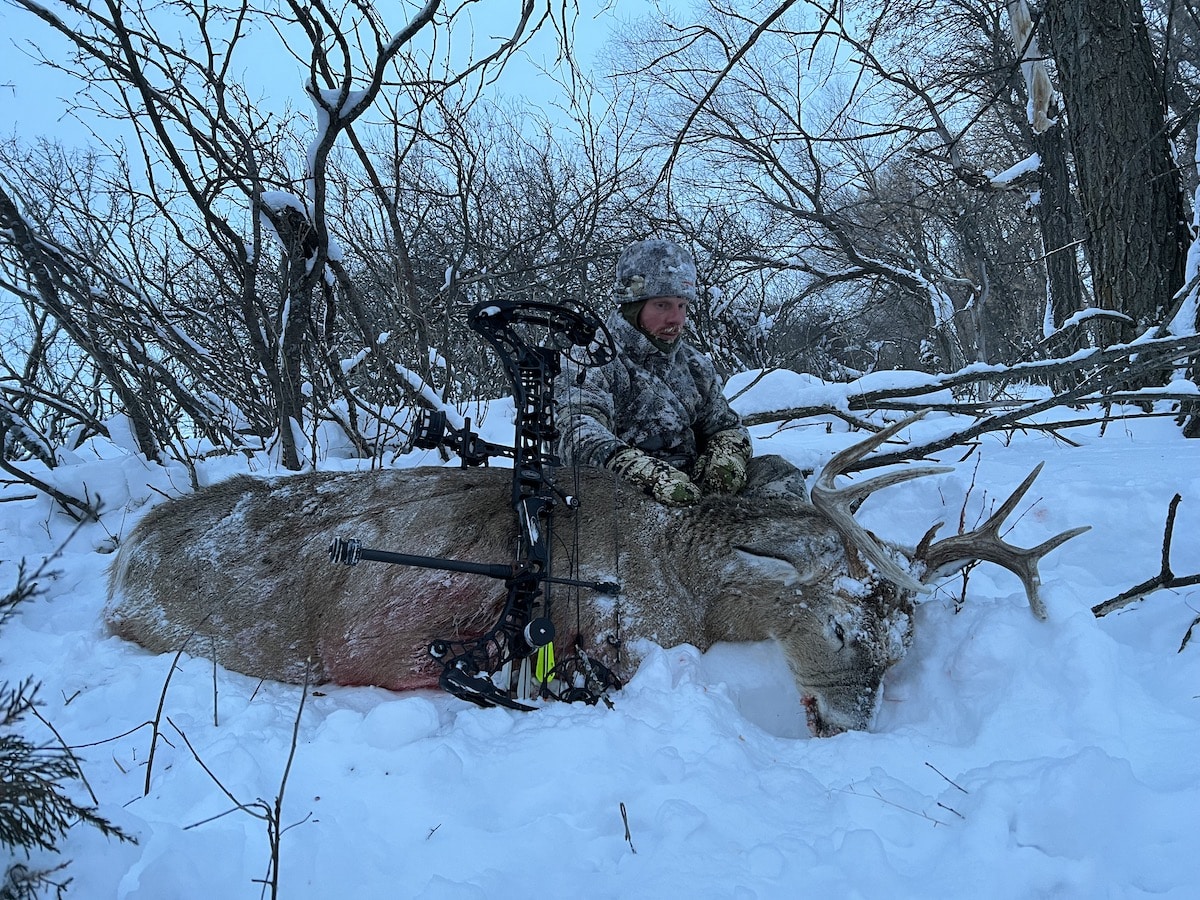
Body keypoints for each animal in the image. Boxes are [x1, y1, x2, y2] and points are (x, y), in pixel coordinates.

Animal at [104, 414, 1088, 736]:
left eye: (900, 653)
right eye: (843, 625)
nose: (856, 724)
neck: (684, 568)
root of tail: (122, 556)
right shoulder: (624, 635)